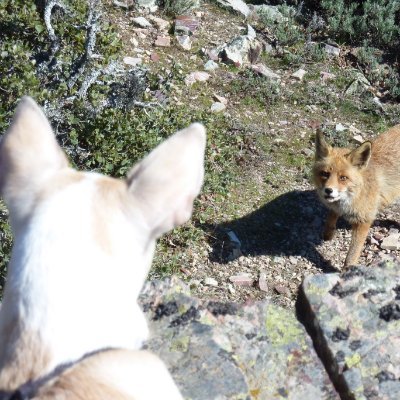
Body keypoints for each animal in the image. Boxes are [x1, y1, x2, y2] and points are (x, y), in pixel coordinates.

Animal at [312, 125, 400, 268]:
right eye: (325, 174)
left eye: (343, 178)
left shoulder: (363, 222)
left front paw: (347, 271)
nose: (328, 190)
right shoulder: (337, 207)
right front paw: (328, 233)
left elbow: (352, 255)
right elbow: (331, 215)